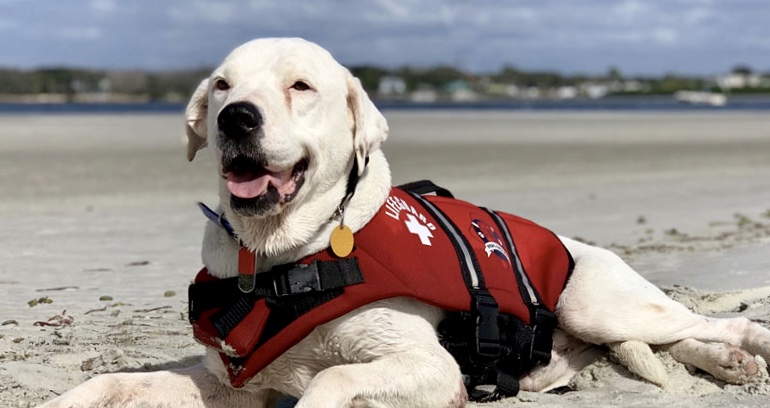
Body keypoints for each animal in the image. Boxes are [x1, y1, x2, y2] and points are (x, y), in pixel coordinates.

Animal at [40, 36, 768, 406]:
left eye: (300, 86)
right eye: (221, 85)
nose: (236, 118)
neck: (278, 260)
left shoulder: (427, 366)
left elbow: (330, 378)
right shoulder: (232, 383)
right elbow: (110, 381)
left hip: (595, 303)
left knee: (701, 320)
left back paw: (744, 345)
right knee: (669, 342)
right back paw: (725, 364)